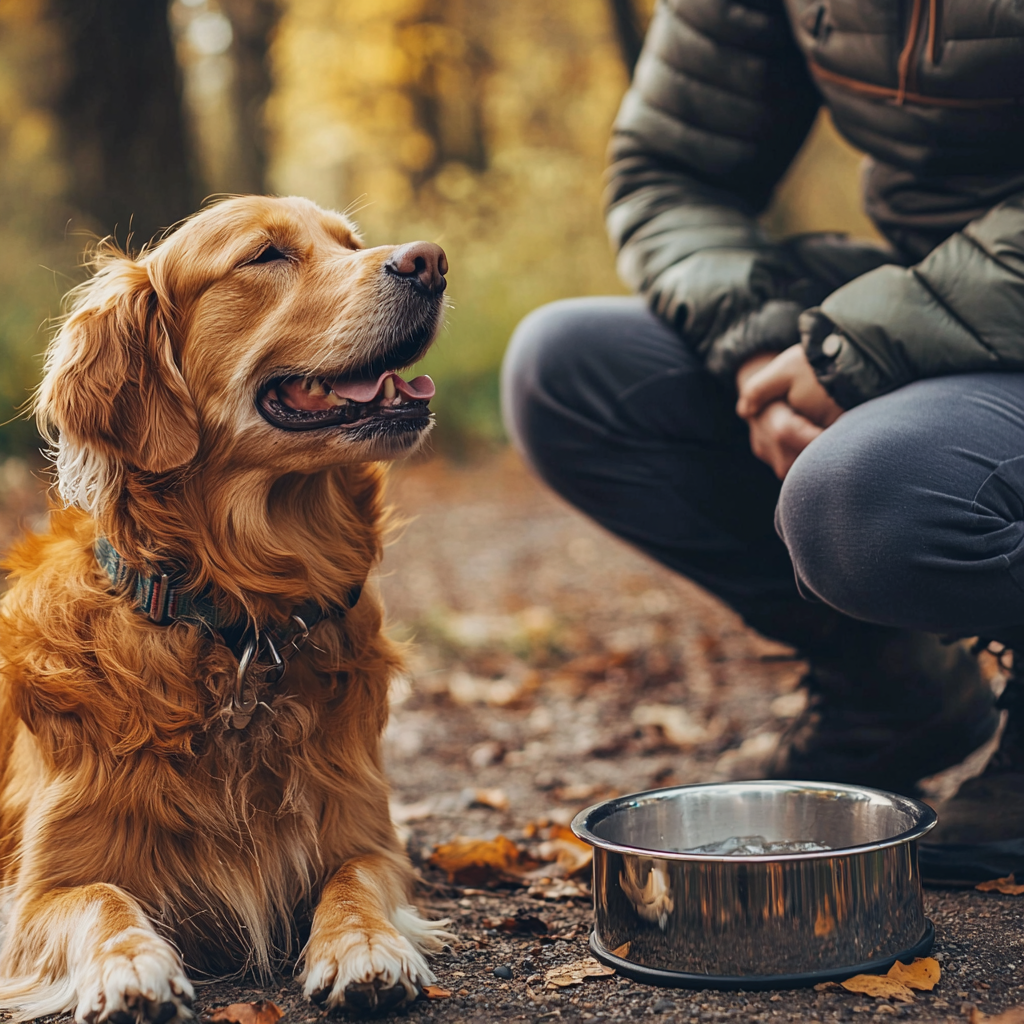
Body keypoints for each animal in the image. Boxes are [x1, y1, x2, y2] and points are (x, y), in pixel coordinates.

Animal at [0, 195, 452, 1019]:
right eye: (265, 256)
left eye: (351, 243)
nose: (429, 262)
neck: (240, 624)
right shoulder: (38, 889)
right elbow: (102, 900)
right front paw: (130, 967)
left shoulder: (370, 838)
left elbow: (355, 883)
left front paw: (365, 947)